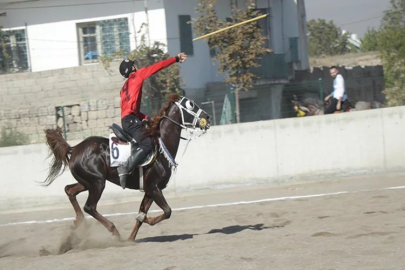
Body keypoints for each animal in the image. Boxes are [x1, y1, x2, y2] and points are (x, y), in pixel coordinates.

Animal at [41, 94, 211, 242]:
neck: (160, 147)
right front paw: (148, 220)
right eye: (191, 104)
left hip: (87, 182)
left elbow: (142, 214)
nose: (207, 117)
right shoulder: (154, 188)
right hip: (97, 183)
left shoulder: (150, 191)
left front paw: (132, 236)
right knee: (89, 207)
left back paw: (78, 221)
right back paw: (113, 230)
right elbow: (167, 211)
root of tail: (74, 148)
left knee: (69, 190)